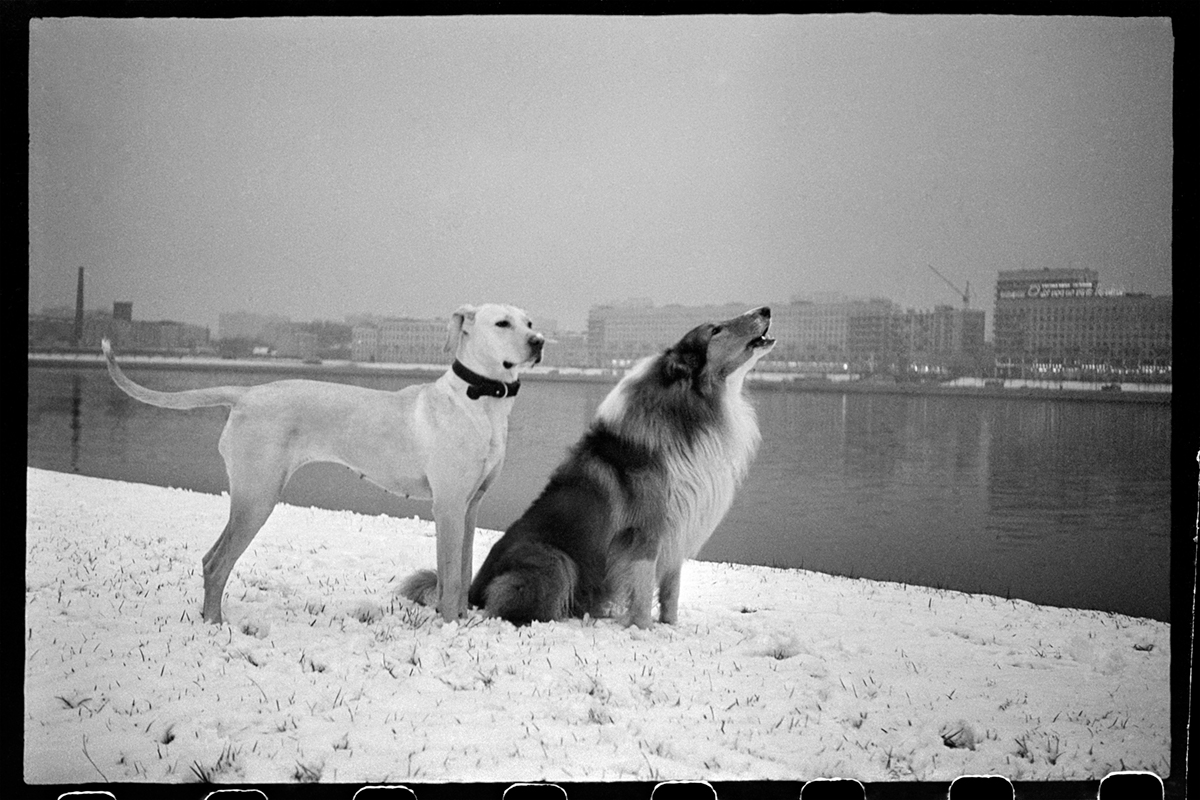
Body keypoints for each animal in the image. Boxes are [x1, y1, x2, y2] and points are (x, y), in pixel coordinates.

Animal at [103, 303, 544, 623]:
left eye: (530, 322)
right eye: (502, 323)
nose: (539, 341)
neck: (479, 401)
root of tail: (245, 393)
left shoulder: (470, 506)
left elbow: (465, 569)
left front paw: (466, 621)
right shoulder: (448, 506)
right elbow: (450, 576)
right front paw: (450, 625)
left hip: (252, 496)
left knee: (210, 558)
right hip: (258, 496)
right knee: (217, 563)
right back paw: (214, 624)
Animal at [453, 307, 772, 623]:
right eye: (716, 330)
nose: (765, 310)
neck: (690, 410)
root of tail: (473, 589)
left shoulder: (678, 532)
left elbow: (671, 592)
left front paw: (669, 627)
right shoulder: (647, 531)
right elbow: (642, 594)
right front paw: (643, 630)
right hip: (555, 559)